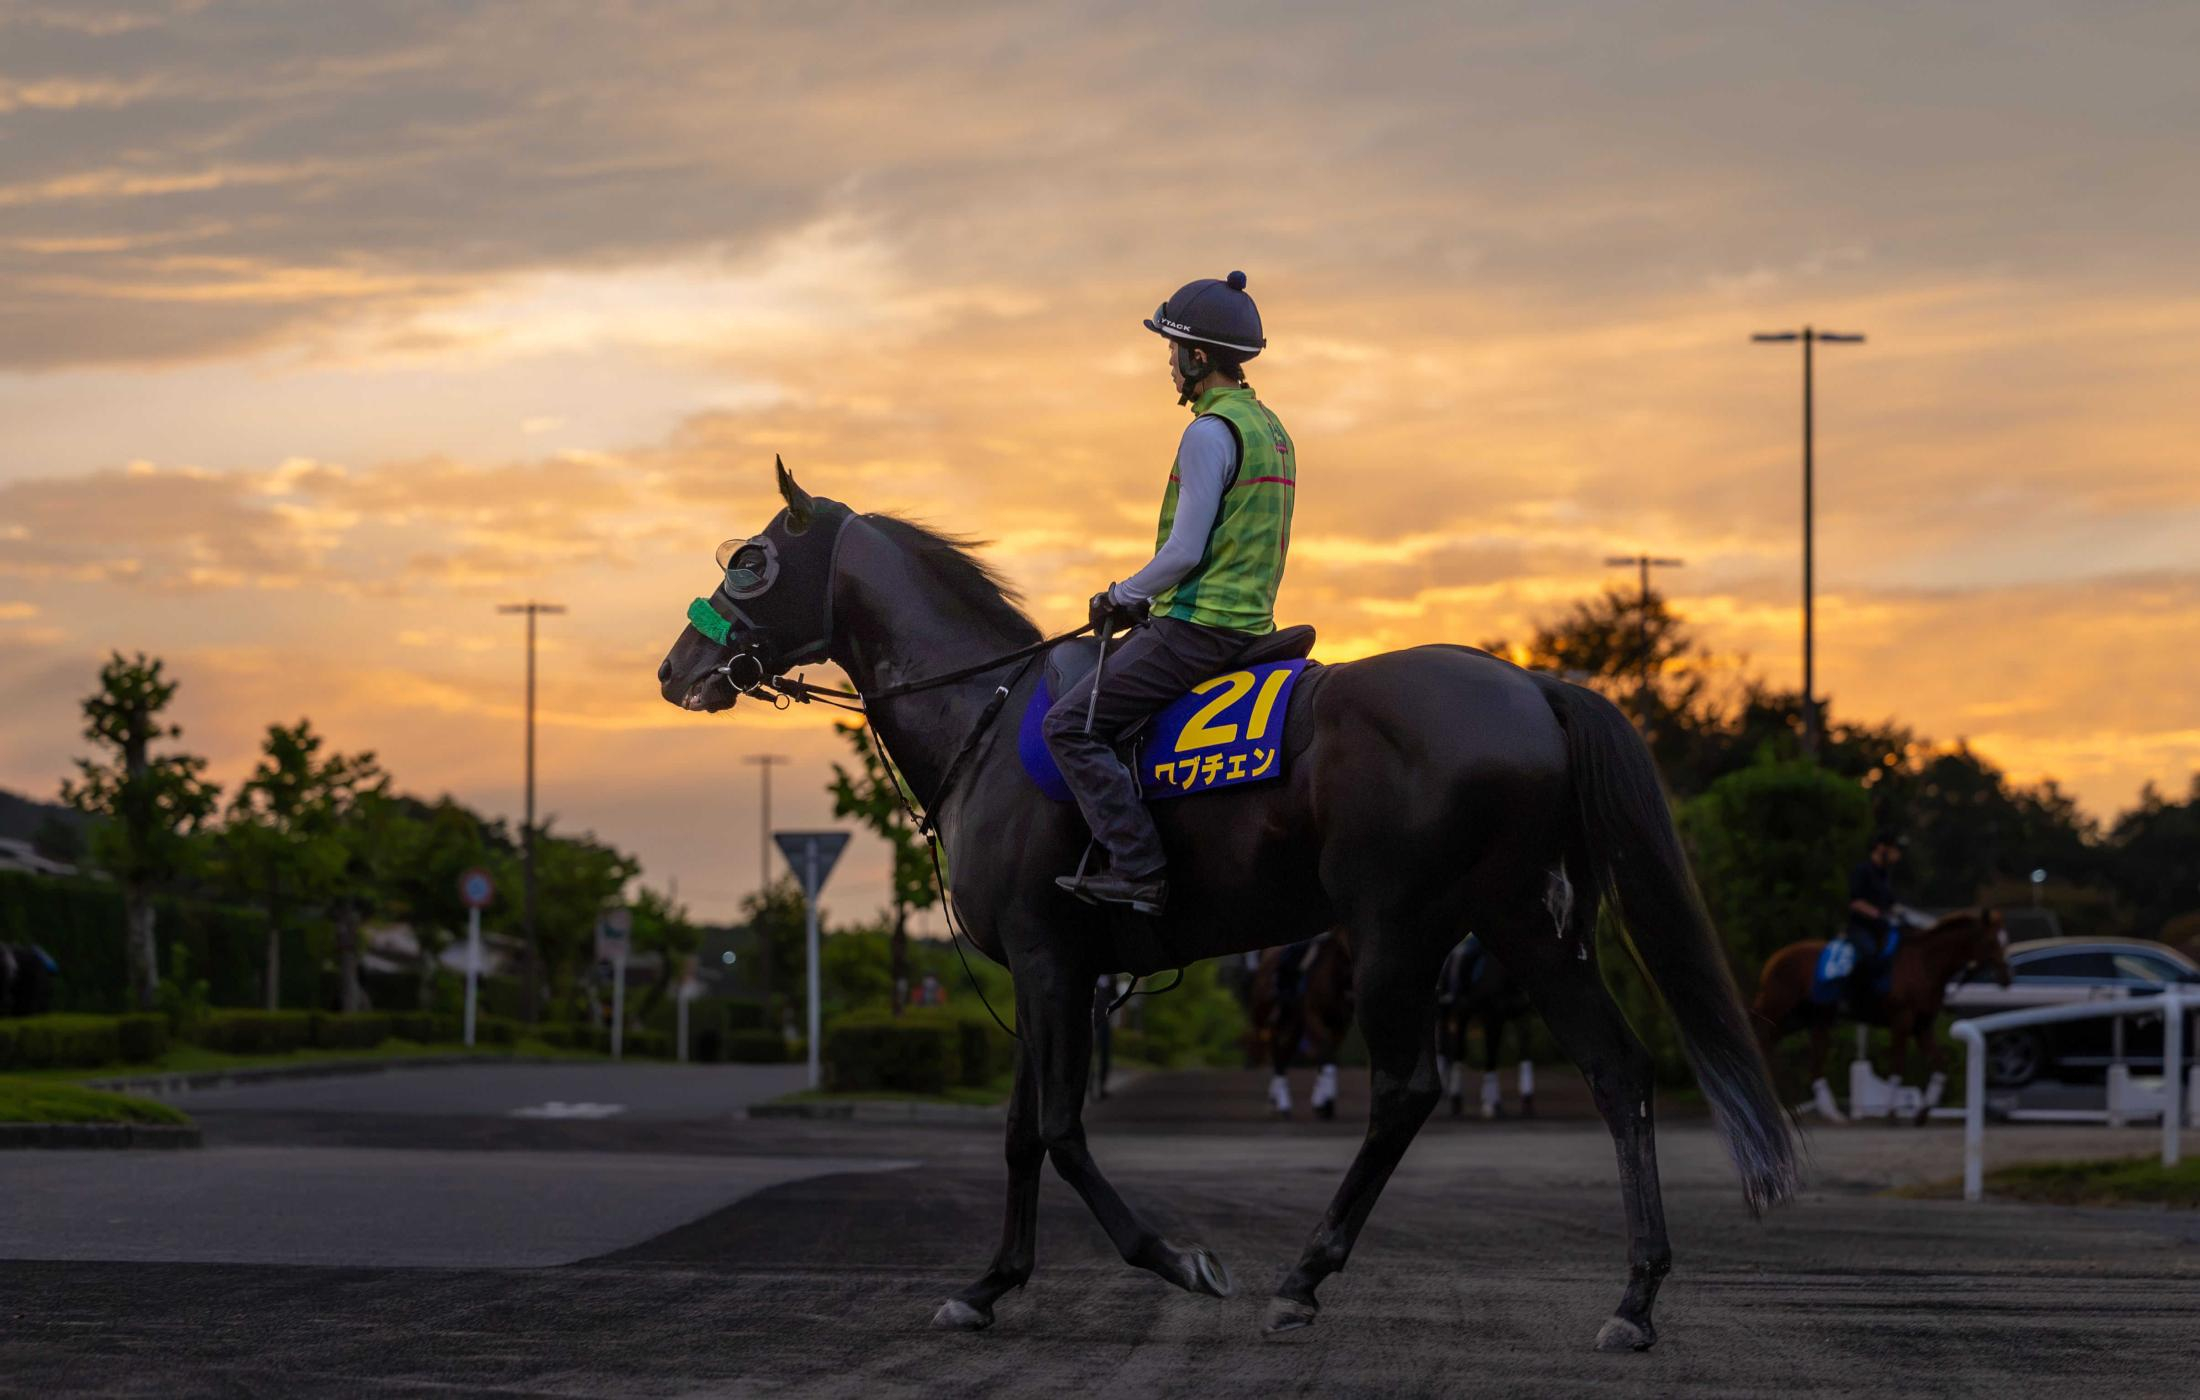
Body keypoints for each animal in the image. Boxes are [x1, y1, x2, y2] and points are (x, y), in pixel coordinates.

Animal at [1248, 932, 1355, 1119]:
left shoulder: (1340, 1025)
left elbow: (1329, 1057)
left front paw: (1324, 1103)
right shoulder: (1314, 1017)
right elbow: (1326, 1054)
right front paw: (1324, 1104)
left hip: (1293, 1027)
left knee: (1284, 1053)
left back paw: (1276, 1100)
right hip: (1273, 1021)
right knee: (1277, 1054)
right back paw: (1282, 1104)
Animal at [1437, 936, 1537, 1119]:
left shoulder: (1522, 1015)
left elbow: (1524, 1053)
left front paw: (1527, 1101)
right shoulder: (1492, 1015)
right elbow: (1491, 1055)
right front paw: (1491, 1102)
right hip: (1457, 1012)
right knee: (1456, 1050)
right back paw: (1454, 1099)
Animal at [1751, 909, 2010, 1123]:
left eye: (2004, 941)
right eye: (1991, 941)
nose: (2007, 977)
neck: (1925, 963)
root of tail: (1775, 959)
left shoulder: (1923, 1026)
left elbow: (1940, 1063)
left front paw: (1923, 1111)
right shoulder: (1902, 1020)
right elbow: (1898, 1063)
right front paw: (1891, 1111)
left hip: (1804, 1019)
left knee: (1805, 1058)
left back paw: (1826, 1111)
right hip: (1779, 1010)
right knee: (1763, 1041)